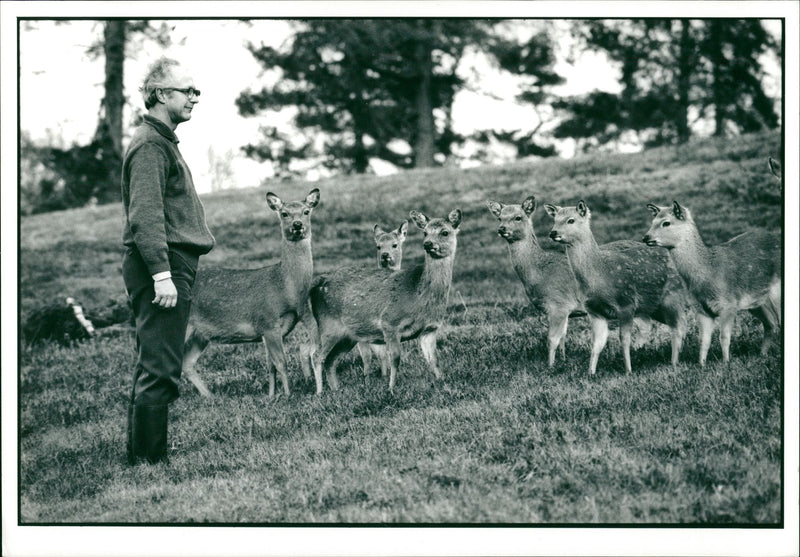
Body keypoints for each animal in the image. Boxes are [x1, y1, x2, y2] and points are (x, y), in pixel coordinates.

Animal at [181, 189, 318, 398]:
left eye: (306, 211)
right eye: (284, 213)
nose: (297, 225)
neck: (286, 288)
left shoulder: (272, 330)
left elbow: (271, 365)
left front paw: (272, 395)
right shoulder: (267, 321)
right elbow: (282, 363)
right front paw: (288, 395)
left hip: (201, 333)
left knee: (187, 363)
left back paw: (211, 396)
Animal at [312, 207, 462, 390]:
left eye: (445, 232)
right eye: (425, 232)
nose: (427, 244)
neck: (418, 296)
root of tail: (319, 283)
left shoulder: (430, 329)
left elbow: (434, 359)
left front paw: (443, 382)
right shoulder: (390, 322)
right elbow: (395, 358)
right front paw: (391, 388)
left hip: (348, 335)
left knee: (331, 360)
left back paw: (336, 390)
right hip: (328, 325)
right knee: (317, 356)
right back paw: (320, 392)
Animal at [484, 193, 584, 368]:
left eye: (518, 217)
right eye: (500, 218)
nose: (501, 229)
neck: (538, 273)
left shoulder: (558, 304)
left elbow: (552, 339)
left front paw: (550, 367)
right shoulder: (566, 309)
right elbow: (563, 337)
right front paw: (564, 360)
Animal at [548, 199, 692, 374]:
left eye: (571, 220)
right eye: (554, 220)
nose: (553, 233)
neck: (601, 276)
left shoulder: (626, 303)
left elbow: (624, 339)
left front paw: (628, 371)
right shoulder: (594, 311)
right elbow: (597, 343)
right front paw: (590, 372)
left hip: (673, 296)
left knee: (678, 327)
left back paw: (674, 362)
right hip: (655, 307)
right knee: (680, 325)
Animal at [644, 200, 780, 364]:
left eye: (666, 223)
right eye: (652, 221)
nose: (646, 237)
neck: (709, 273)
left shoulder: (728, 304)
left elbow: (724, 337)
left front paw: (726, 363)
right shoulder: (702, 309)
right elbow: (704, 340)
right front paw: (701, 364)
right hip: (757, 302)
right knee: (771, 324)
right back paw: (762, 355)